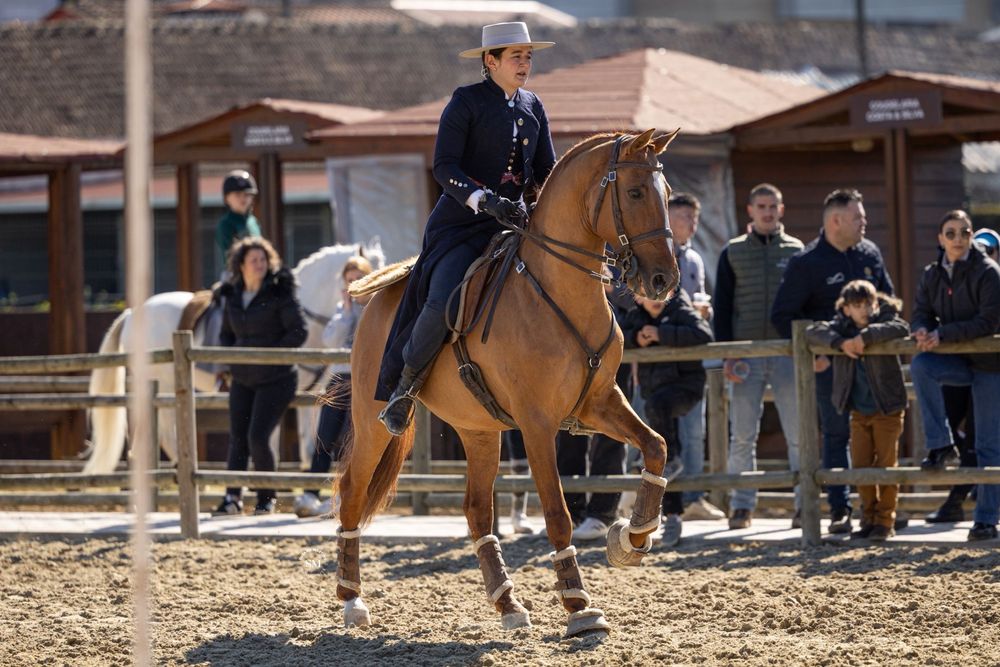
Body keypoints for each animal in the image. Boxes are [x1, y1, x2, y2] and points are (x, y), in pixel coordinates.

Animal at [335, 129, 681, 638]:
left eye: (668, 194)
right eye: (636, 193)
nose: (663, 280)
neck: (559, 292)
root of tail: (383, 293)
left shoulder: (599, 403)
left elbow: (656, 445)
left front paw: (632, 536)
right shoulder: (537, 425)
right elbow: (557, 513)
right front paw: (578, 605)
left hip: (479, 431)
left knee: (477, 510)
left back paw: (508, 603)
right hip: (372, 420)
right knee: (353, 492)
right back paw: (351, 598)